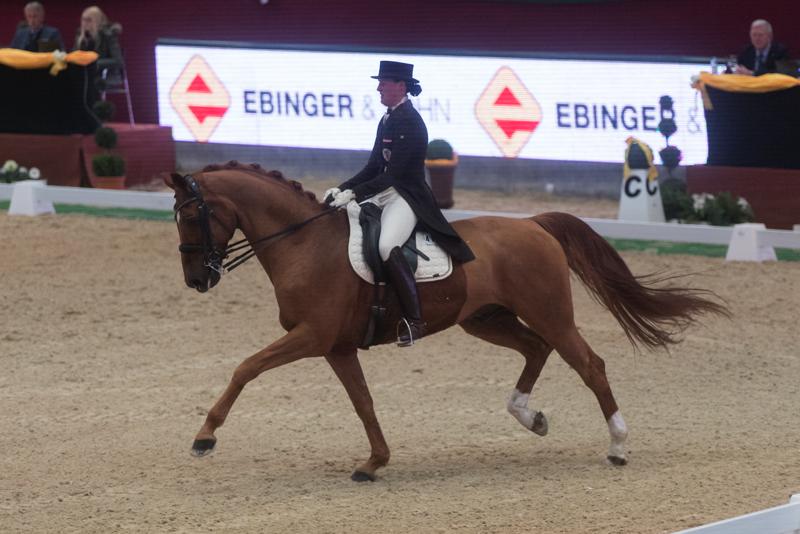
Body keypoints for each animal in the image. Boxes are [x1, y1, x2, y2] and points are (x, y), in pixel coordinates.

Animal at [166, 162, 728, 482]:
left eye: (192, 216)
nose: (196, 279)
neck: (303, 243)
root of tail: (533, 224)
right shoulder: (337, 347)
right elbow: (363, 402)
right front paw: (375, 462)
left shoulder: (312, 337)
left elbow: (245, 368)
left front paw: (204, 436)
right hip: (484, 320)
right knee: (536, 350)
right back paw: (530, 416)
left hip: (549, 313)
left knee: (589, 364)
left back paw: (617, 447)